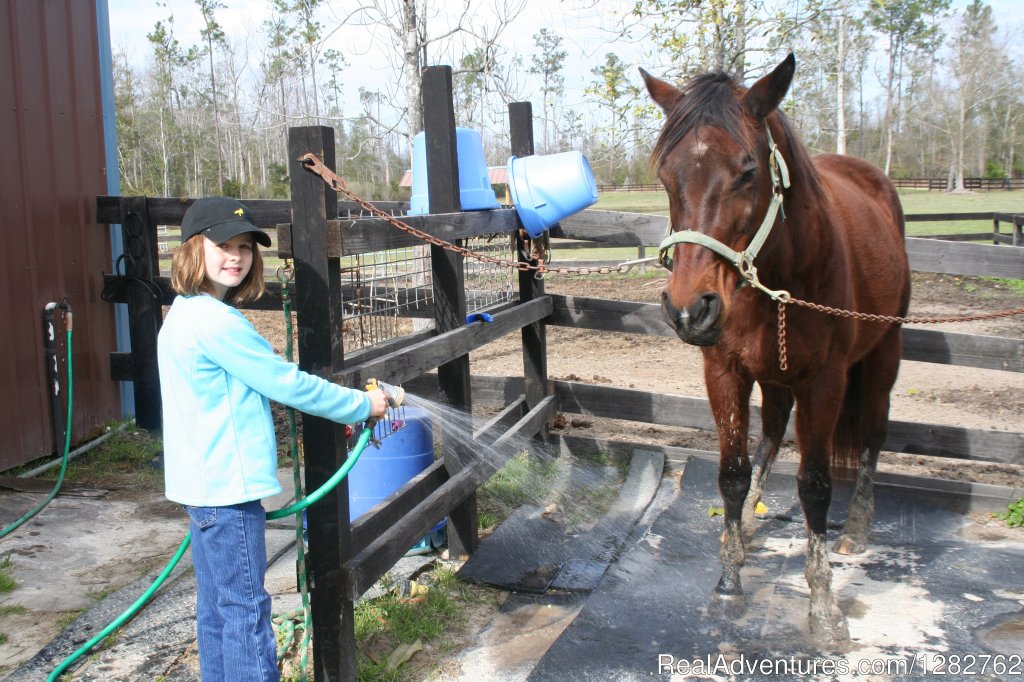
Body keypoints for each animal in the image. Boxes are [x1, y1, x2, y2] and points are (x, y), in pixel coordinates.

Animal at [643, 54, 909, 643]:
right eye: (666, 176)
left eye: (748, 172)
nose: (689, 309)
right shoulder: (725, 370)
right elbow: (733, 473)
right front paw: (727, 579)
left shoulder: (825, 381)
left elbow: (815, 486)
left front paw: (824, 606)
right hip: (773, 373)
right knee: (769, 434)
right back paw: (746, 527)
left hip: (884, 353)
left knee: (874, 432)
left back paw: (859, 525)